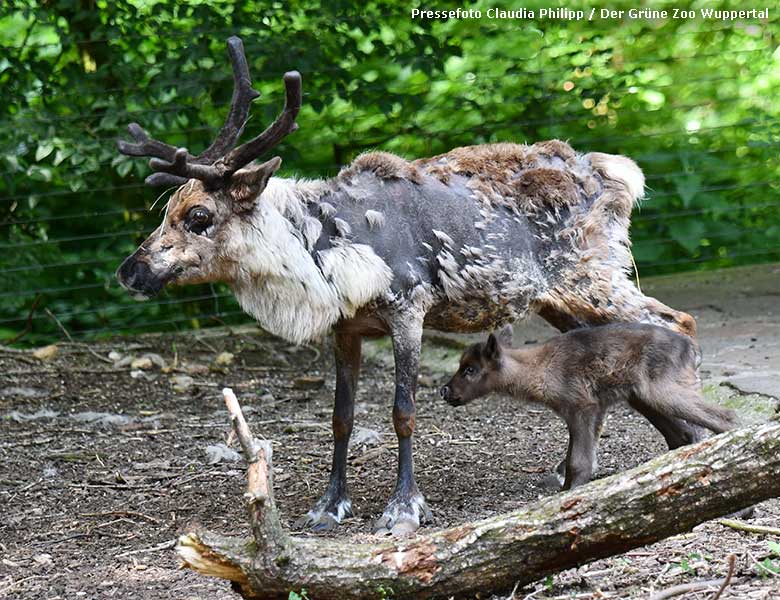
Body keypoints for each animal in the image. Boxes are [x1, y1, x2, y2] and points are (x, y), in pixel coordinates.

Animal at [442, 324, 736, 488]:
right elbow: (575, 458)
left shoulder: (583, 408)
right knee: (683, 434)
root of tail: (693, 349)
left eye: (470, 369)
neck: (539, 368)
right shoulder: (590, 411)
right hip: (643, 397)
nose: (445, 391)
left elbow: (579, 462)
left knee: (723, 415)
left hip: (663, 392)